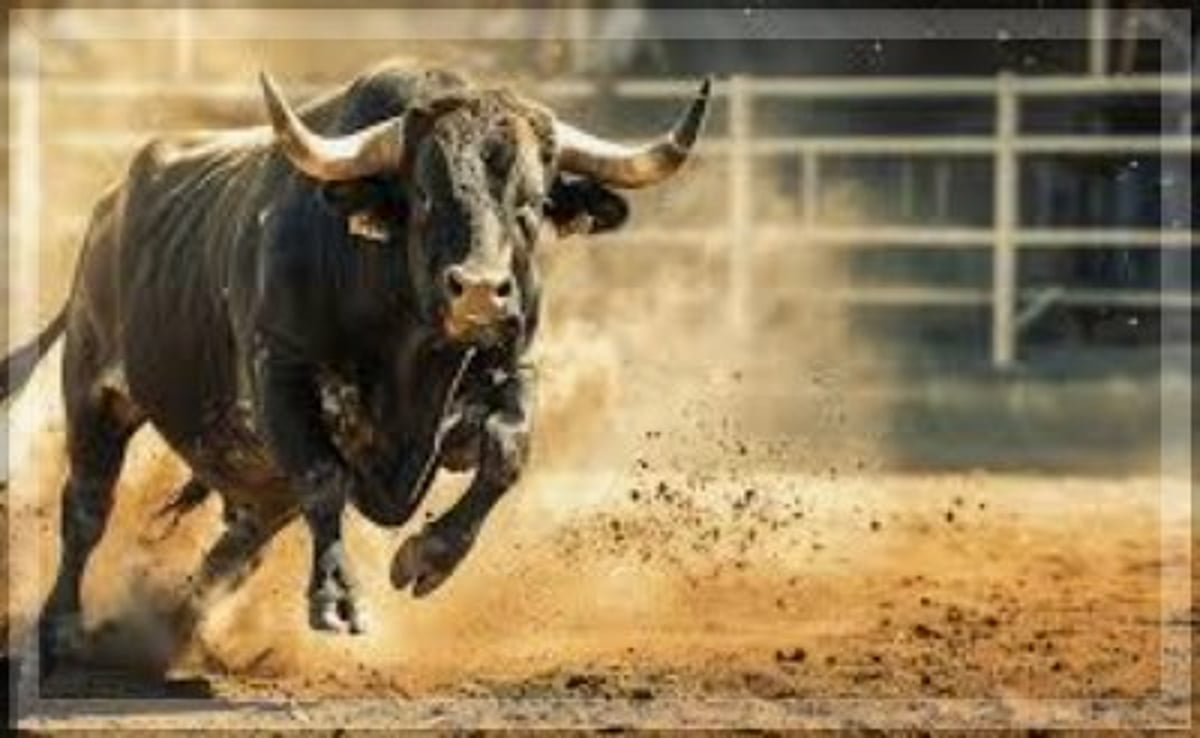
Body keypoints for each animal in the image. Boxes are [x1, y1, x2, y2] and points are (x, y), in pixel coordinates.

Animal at [1, 60, 710, 665]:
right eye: (424, 197)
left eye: (530, 204)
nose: (481, 292)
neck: (409, 347)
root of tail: (110, 208)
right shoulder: (281, 377)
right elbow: (325, 479)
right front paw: (338, 599)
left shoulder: (510, 371)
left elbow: (508, 451)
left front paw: (429, 556)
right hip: (94, 391)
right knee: (86, 507)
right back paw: (62, 629)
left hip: (252, 476)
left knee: (239, 543)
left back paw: (179, 621)